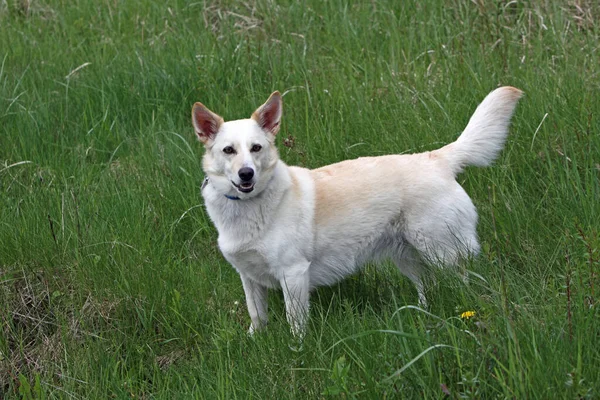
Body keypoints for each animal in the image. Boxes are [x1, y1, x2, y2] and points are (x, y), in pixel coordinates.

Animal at [191, 87, 520, 338]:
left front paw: (297, 352)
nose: (246, 174)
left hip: (444, 253)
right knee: (429, 287)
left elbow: (295, 323)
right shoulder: (249, 277)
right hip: (409, 257)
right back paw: (424, 317)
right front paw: (254, 343)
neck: (249, 207)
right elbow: (256, 317)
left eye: (256, 148)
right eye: (229, 151)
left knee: (464, 285)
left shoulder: (293, 274)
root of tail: (436, 159)